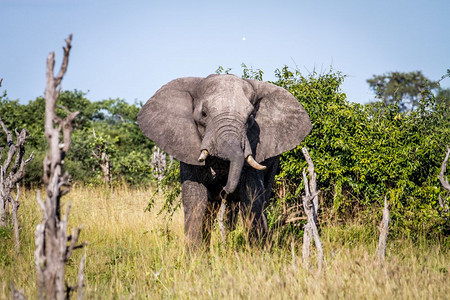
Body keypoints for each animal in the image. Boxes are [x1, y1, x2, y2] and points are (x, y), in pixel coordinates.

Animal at [137, 74, 312, 248]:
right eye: (204, 114)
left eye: (251, 117)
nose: (224, 187)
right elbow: (195, 199)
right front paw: (196, 256)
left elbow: (252, 198)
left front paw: (256, 253)